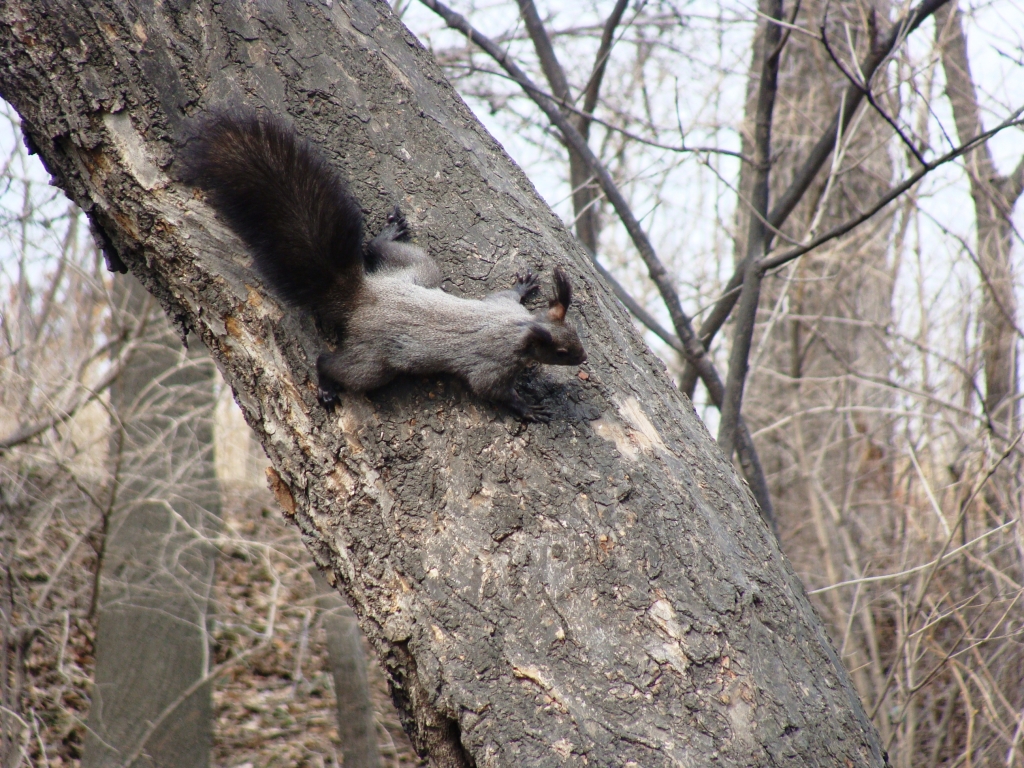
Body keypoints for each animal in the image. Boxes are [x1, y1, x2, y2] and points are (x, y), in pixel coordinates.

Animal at [182, 110, 585, 421]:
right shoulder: (491, 364)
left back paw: (388, 234)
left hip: (418, 270)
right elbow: (490, 389)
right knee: (331, 362)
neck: (520, 327)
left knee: (380, 249)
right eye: (562, 352)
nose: (582, 358)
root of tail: (364, 296)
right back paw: (327, 385)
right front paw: (527, 408)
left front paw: (524, 285)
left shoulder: (501, 307)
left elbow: (502, 295)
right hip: (373, 363)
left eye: (576, 336)